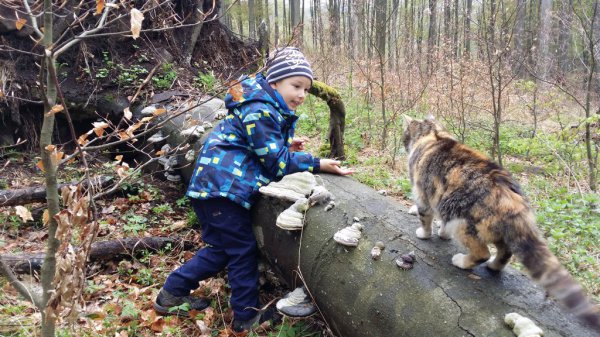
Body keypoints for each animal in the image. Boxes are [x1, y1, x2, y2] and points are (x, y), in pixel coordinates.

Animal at [404, 115, 600, 328]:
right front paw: (442, 233)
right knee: (505, 252)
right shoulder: (440, 203)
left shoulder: (423, 195)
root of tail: (511, 199)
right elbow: (442, 222)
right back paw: (493, 266)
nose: (404, 142)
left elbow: (425, 218)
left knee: (482, 252)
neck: (434, 136)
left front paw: (425, 234)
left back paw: (462, 261)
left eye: (405, 134)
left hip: (463, 222)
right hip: (495, 229)